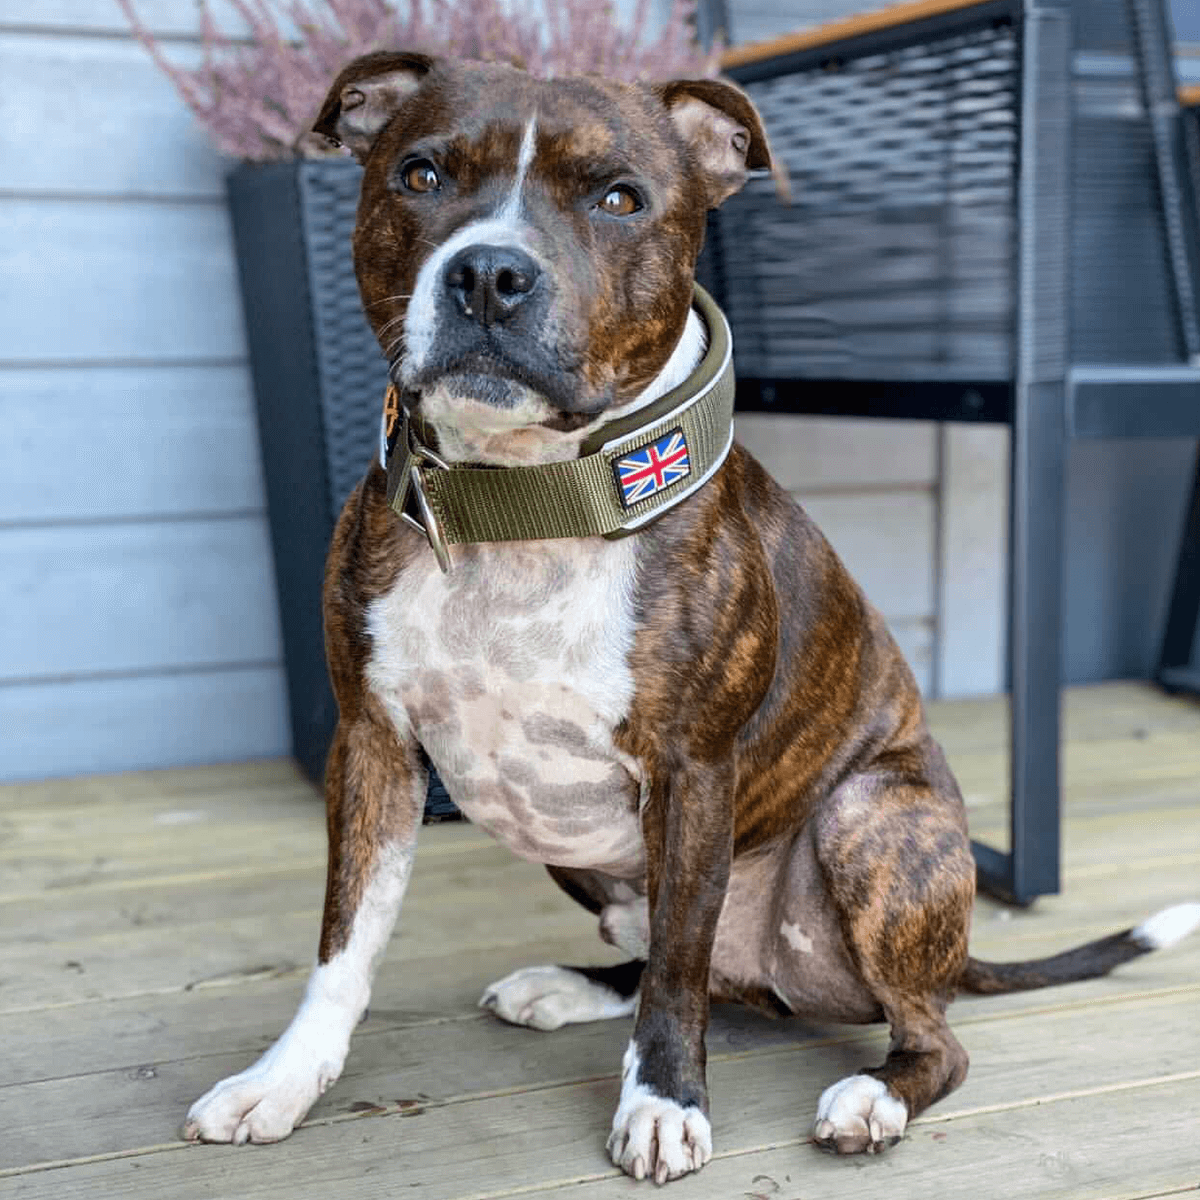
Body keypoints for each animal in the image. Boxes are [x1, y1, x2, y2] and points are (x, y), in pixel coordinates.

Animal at [180, 51, 1200, 1176]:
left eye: (621, 199)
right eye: (420, 175)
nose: (489, 274)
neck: (528, 499)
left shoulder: (692, 771)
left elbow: (674, 968)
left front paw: (665, 1102)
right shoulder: (372, 746)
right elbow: (344, 944)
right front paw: (282, 1081)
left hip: (868, 820)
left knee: (901, 1028)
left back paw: (875, 1095)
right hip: (585, 852)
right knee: (691, 961)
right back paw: (571, 987)